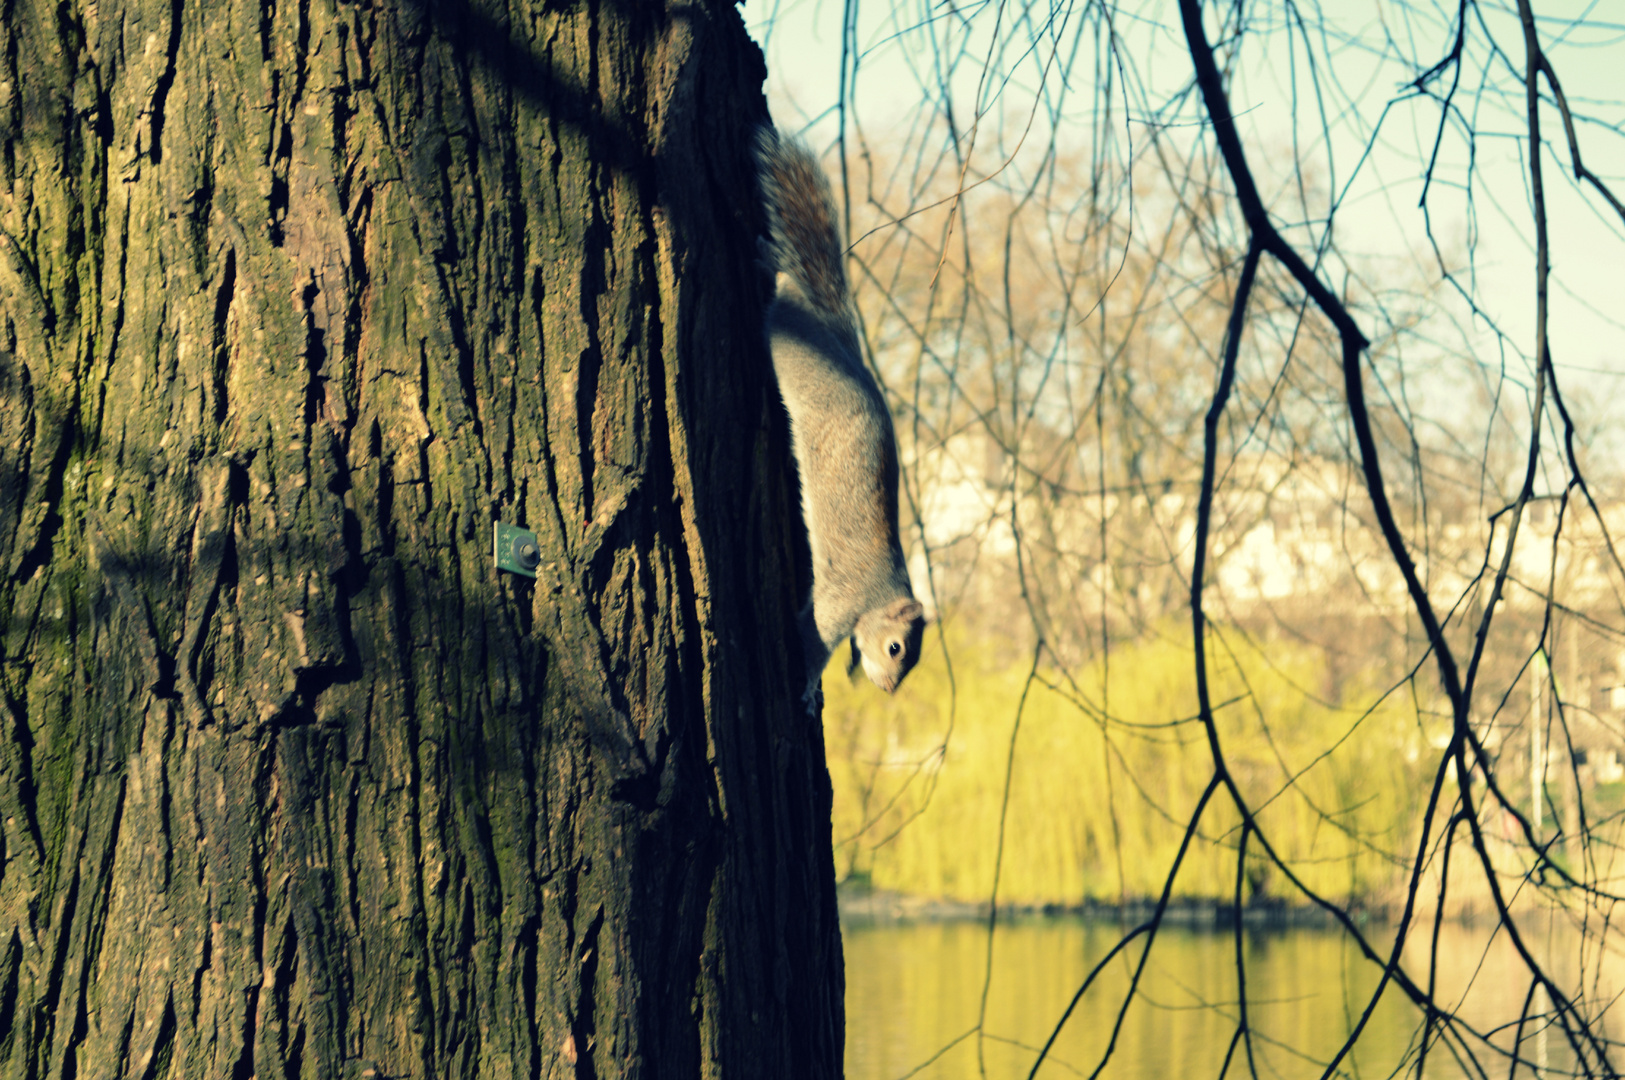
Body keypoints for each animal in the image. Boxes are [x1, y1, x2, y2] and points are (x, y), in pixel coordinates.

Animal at [750, 128, 929, 698]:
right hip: (792, 350)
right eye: (896, 648)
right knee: (785, 295)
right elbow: (813, 639)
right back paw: (773, 268)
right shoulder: (840, 603)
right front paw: (806, 687)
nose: (890, 689)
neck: (880, 595)